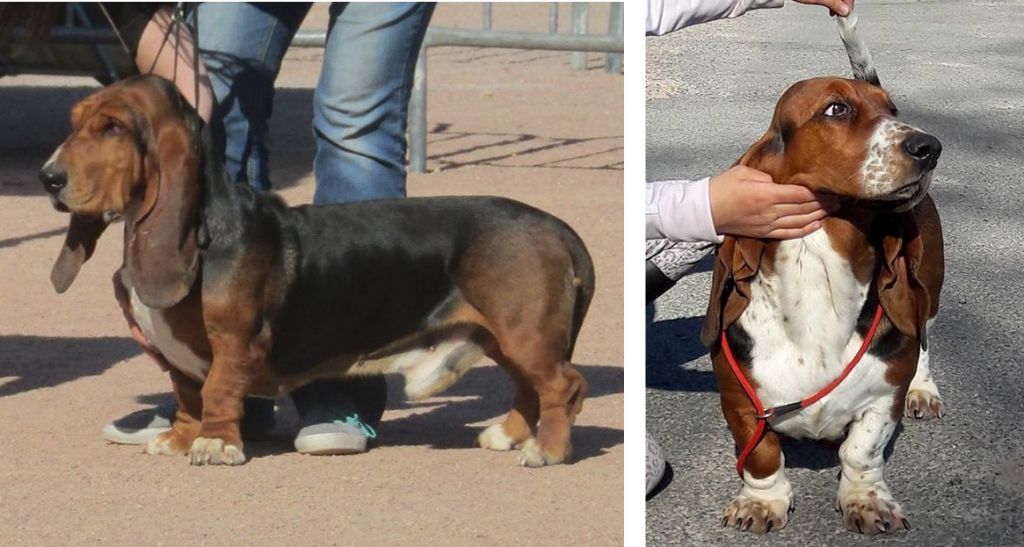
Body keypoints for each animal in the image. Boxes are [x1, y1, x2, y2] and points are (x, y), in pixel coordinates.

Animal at [39, 75, 598, 469]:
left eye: (112, 128)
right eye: (75, 122)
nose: (48, 178)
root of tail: (556, 228)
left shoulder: (235, 342)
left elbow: (217, 390)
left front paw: (214, 443)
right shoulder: (178, 359)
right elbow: (187, 394)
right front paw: (179, 438)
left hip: (525, 331)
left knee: (563, 385)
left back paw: (547, 450)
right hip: (503, 334)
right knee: (529, 386)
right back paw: (506, 435)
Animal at [700, 71, 946, 536]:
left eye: (891, 110)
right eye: (836, 108)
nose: (930, 147)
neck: (817, 273)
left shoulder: (884, 396)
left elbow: (861, 451)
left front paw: (867, 499)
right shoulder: (739, 401)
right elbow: (761, 457)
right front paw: (762, 501)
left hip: (931, 290)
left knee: (924, 336)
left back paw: (923, 390)